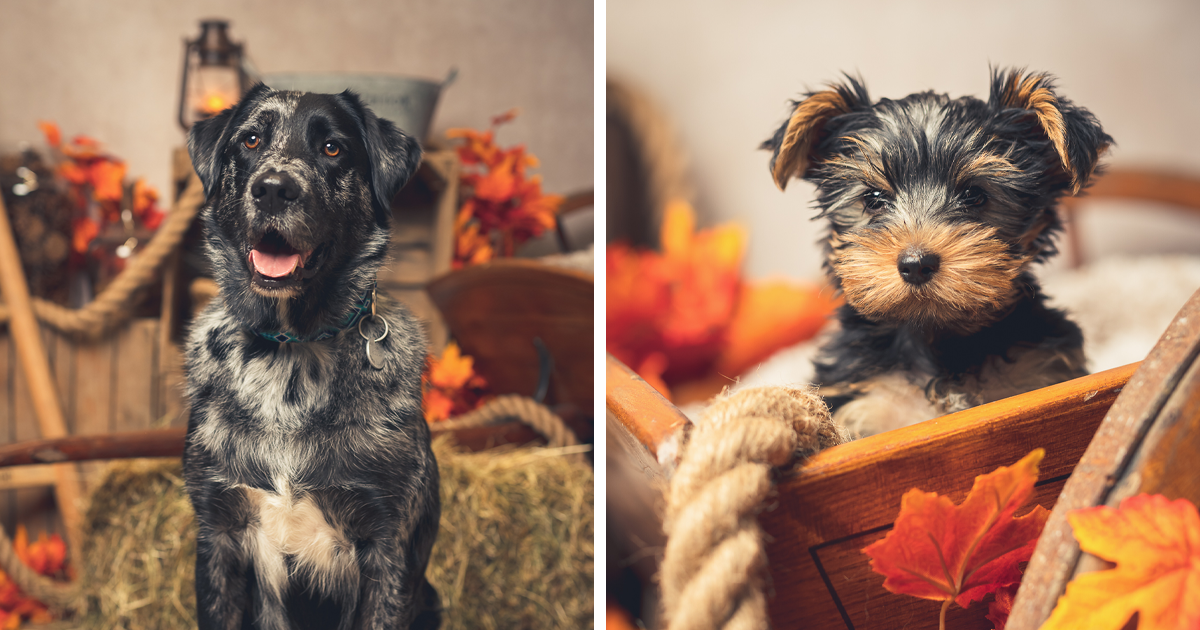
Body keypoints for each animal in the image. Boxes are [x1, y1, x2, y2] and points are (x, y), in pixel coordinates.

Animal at [187, 84, 446, 628]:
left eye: (332, 148)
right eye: (250, 140)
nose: (273, 189)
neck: (290, 352)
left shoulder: (387, 549)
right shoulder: (217, 533)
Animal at [763, 66, 1108, 434]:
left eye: (974, 195)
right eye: (873, 198)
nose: (916, 263)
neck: (934, 335)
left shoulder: (1039, 371)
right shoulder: (867, 403)